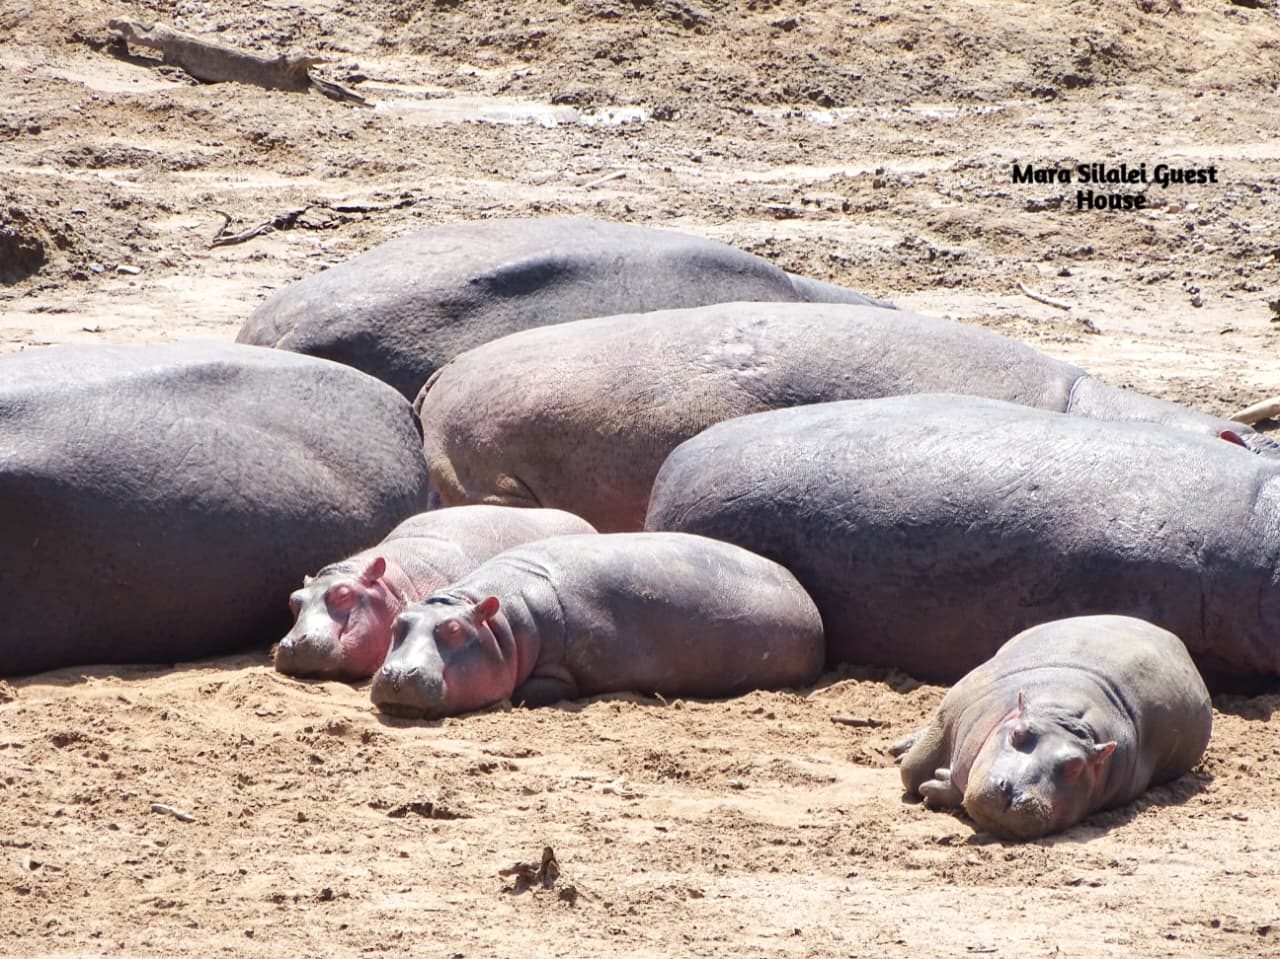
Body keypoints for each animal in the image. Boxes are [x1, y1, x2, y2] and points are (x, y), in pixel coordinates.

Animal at [370, 532, 824, 718]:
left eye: (453, 631)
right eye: (398, 624)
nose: (396, 675)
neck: (501, 626)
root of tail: (806, 595)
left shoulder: (562, 670)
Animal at [891, 615, 1212, 840]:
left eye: (1075, 766)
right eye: (1018, 733)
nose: (1015, 793)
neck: (1064, 718)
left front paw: (939, 781)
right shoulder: (953, 708)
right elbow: (911, 771)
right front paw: (924, 772)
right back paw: (899, 749)